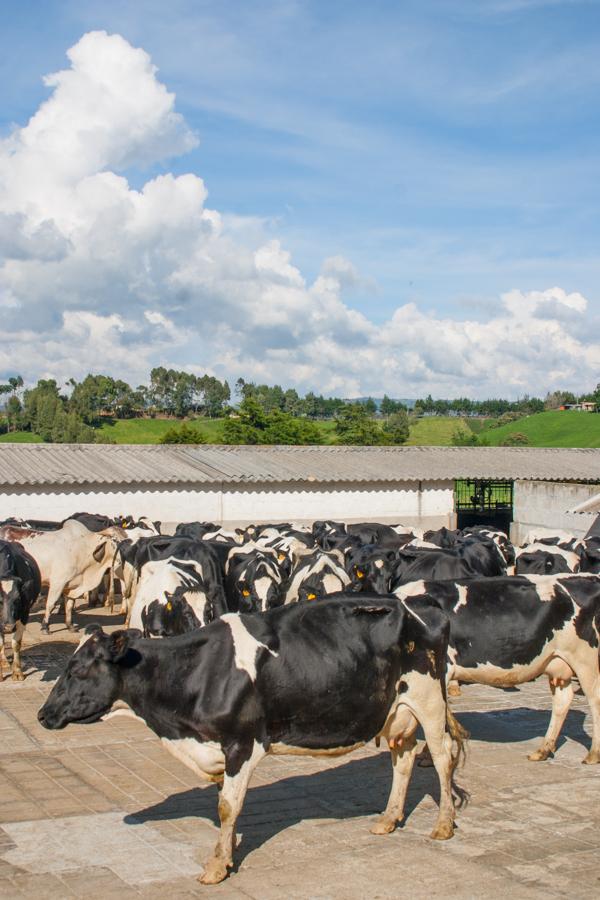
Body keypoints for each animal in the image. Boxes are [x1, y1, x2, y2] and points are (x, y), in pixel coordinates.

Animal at [39, 596, 466, 884]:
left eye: (77, 669)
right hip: (396, 712)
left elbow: (228, 806)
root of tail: (422, 605)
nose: (43, 715)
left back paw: (444, 825)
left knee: (442, 755)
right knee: (404, 757)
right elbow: (223, 807)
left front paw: (216, 867)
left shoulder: (241, 743)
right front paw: (225, 855)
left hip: (429, 698)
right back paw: (389, 819)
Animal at [396, 572, 600, 764]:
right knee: (562, 700)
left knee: (595, 699)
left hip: (585, 659)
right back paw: (543, 750)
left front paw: (428, 754)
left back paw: (593, 754)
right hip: (557, 661)